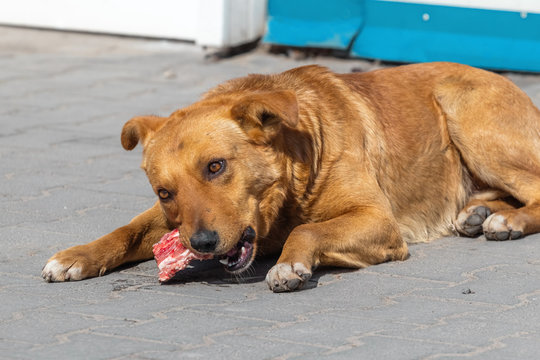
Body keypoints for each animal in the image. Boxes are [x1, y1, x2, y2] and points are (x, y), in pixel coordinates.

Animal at [41, 62, 540, 292]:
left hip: (469, 120)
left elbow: (308, 230)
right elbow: (125, 231)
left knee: (533, 187)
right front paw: (78, 256)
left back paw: (507, 220)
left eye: (216, 166)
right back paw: (478, 213)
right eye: (164, 192)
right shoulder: (169, 221)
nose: (201, 244)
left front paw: (290, 264)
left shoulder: (378, 220)